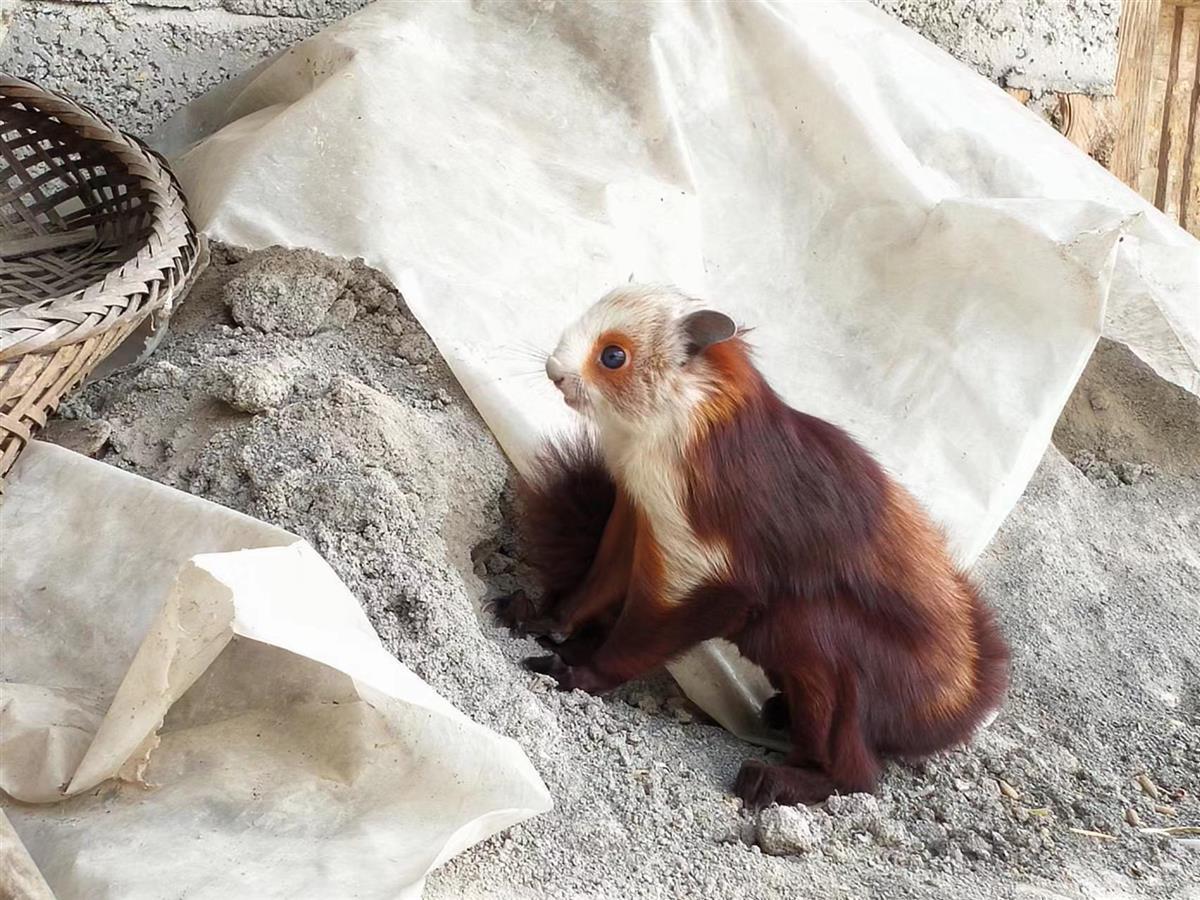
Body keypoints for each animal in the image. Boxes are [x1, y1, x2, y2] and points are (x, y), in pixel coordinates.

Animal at [492, 285, 1008, 806]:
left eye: (613, 355)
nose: (554, 370)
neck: (685, 415)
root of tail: (962, 703)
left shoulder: (708, 568)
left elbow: (645, 633)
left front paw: (578, 673)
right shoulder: (641, 515)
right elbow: (596, 584)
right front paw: (543, 620)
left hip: (818, 638)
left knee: (859, 776)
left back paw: (779, 779)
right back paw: (780, 713)